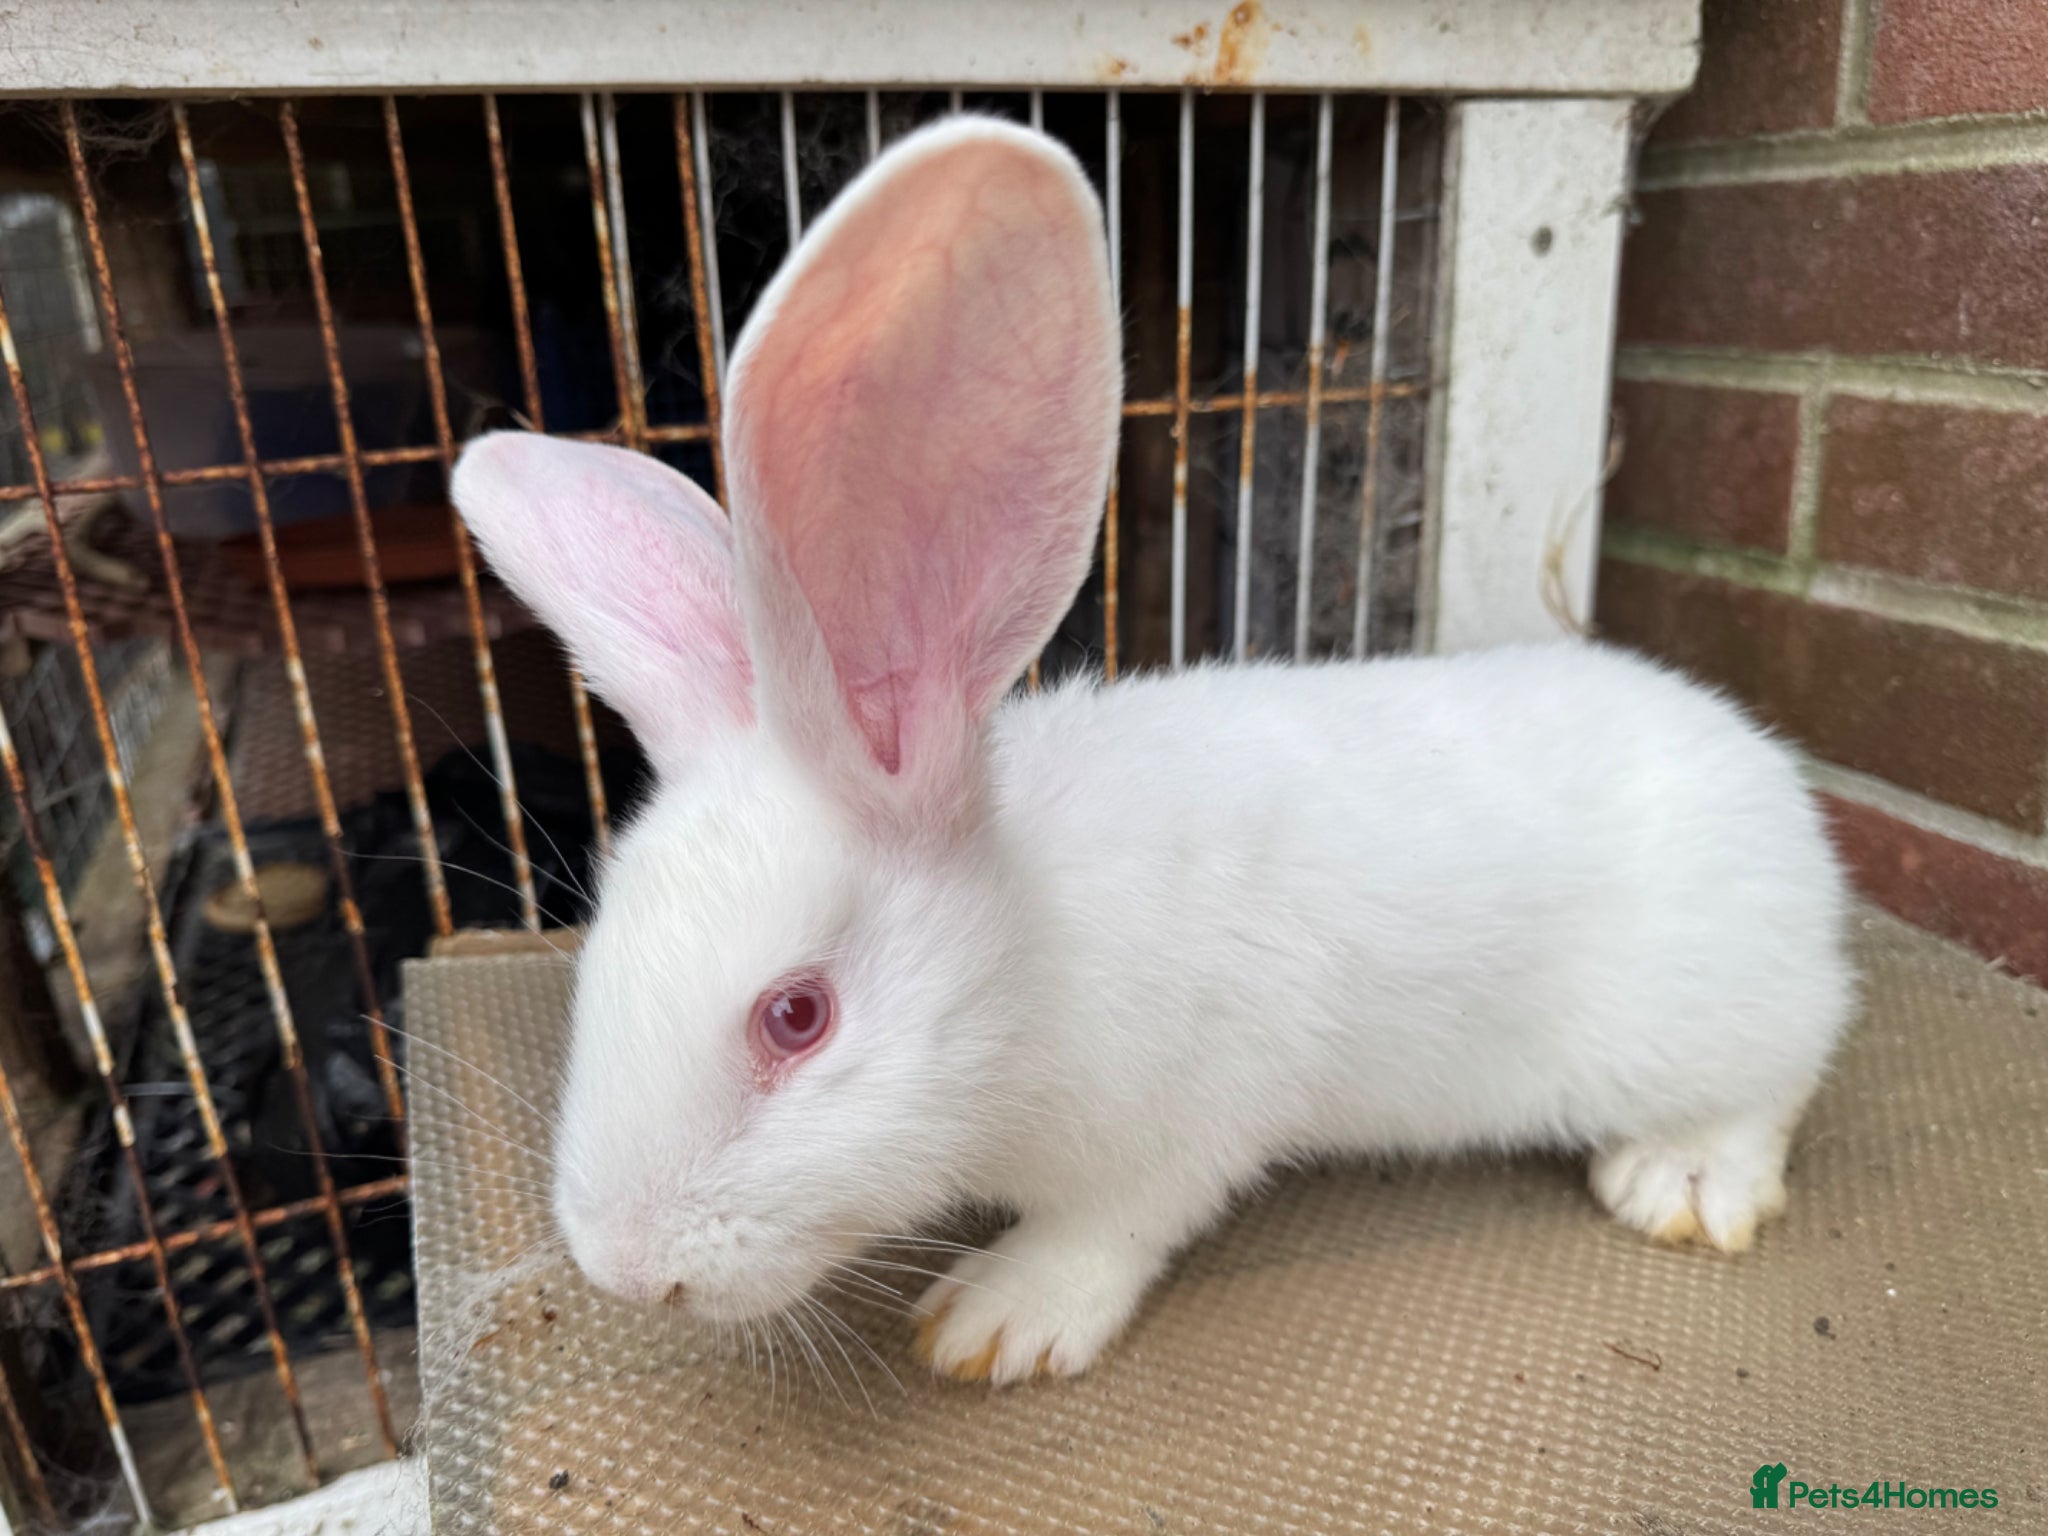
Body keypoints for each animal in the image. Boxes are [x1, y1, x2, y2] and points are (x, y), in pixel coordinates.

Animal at [450, 117, 1857, 1387]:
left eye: (796, 1018)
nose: (626, 1268)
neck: (1033, 963)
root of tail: (1772, 793)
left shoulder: (1184, 1118)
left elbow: (1110, 1228)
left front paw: (993, 1323)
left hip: (1713, 1018)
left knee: (1776, 1080)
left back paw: (1677, 1183)